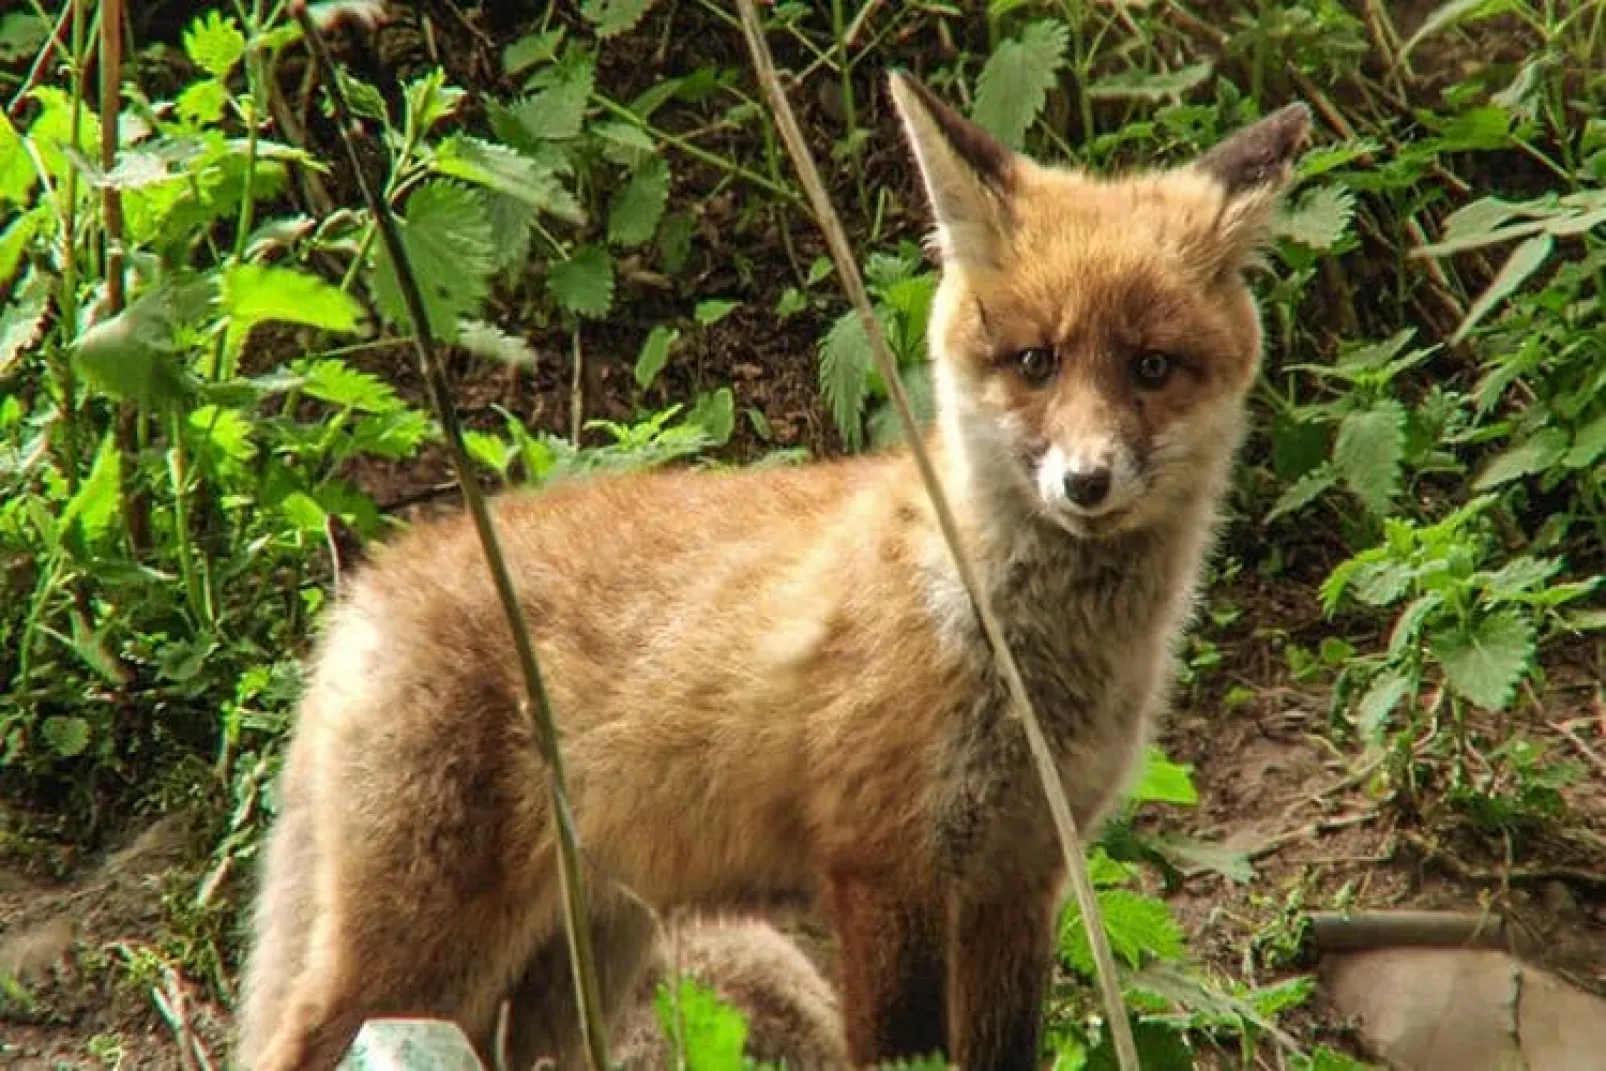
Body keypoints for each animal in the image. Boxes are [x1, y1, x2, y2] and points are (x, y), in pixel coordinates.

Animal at [240, 73, 1316, 1071]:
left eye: (1151, 367)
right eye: (1036, 362)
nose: (1085, 482)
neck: (1012, 649)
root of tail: (374, 579)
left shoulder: (1019, 877)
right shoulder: (884, 870)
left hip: (574, 963)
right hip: (424, 940)